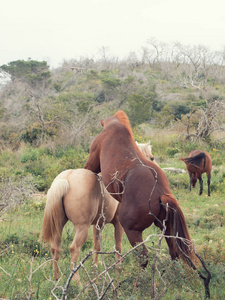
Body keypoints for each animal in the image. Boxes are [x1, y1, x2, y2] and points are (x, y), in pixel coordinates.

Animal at [84, 110, 199, 270]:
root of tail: (161, 194)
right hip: (166, 229)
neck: (114, 128)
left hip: (132, 231)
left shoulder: (92, 163)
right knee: (174, 252)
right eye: (152, 157)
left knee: (143, 257)